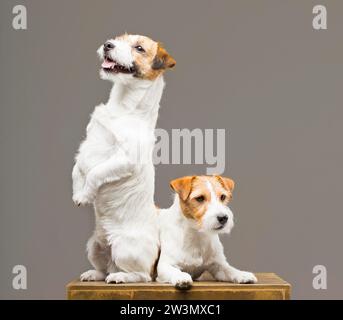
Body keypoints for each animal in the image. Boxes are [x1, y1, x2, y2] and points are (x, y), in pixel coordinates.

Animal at [71, 35, 176, 284]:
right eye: (119, 39)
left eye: (139, 48)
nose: (108, 44)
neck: (122, 108)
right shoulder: (87, 145)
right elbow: (77, 169)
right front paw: (77, 191)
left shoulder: (124, 160)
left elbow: (94, 173)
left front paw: (85, 195)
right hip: (94, 246)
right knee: (104, 269)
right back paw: (95, 273)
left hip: (124, 248)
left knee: (142, 275)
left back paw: (121, 277)